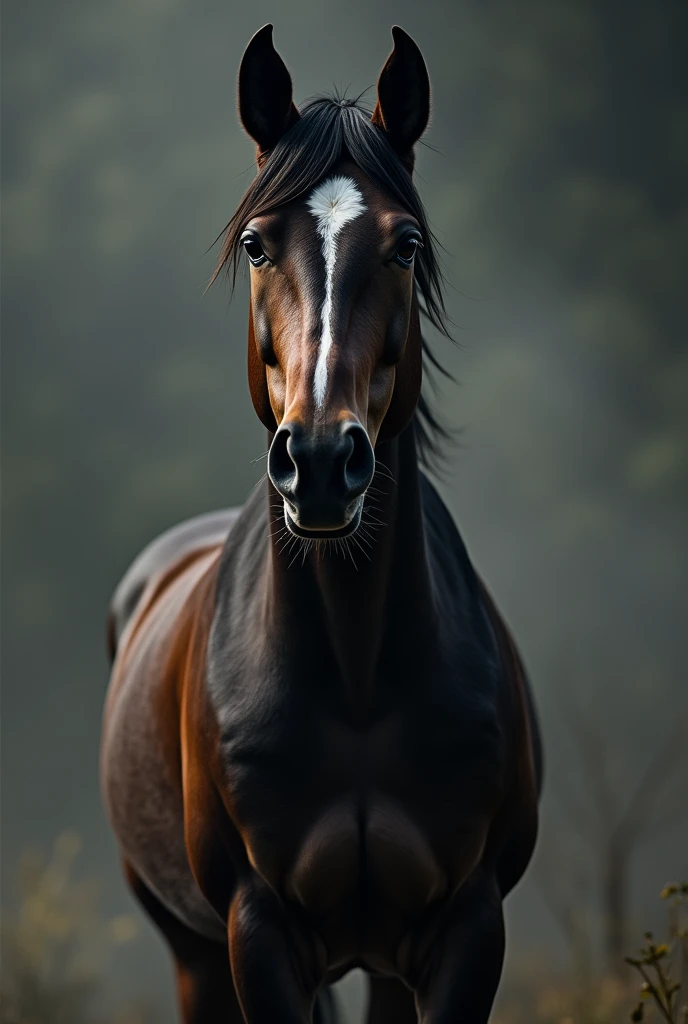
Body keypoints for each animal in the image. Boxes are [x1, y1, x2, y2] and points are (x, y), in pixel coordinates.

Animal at [102, 25, 544, 1024]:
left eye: (406, 244)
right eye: (257, 244)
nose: (317, 459)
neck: (357, 678)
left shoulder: (467, 931)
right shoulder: (257, 934)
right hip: (194, 953)